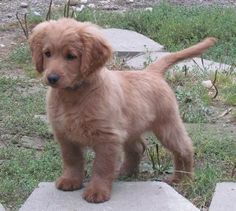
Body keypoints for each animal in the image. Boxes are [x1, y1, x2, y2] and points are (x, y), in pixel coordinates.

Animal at [29, 18, 216, 204]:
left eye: (71, 56)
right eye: (47, 53)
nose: (51, 78)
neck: (73, 95)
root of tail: (151, 72)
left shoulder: (107, 137)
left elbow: (102, 166)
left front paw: (97, 191)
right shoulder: (65, 135)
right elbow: (71, 160)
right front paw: (70, 180)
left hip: (167, 125)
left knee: (184, 148)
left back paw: (183, 178)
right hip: (130, 127)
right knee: (138, 148)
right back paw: (126, 172)